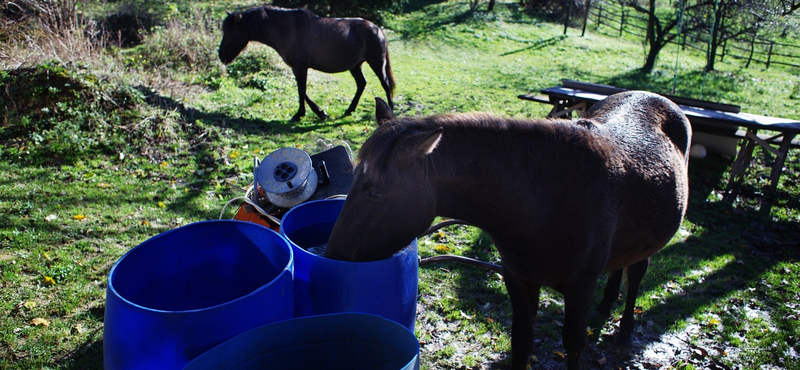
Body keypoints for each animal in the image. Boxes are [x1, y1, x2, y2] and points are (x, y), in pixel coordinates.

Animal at [217, 5, 396, 121]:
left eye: (231, 31)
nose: (221, 55)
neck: (286, 29)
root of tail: (377, 29)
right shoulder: (297, 67)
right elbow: (303, 91)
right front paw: (320, 113)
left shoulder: (300, 67)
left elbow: (301, 90)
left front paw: (300, 114)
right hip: (355, 66)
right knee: (361, 84)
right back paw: (349, 110)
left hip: (376, 62)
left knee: (385, 84)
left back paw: (391, 109)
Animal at [324, 93, 688, 370]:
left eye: (374, 191)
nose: (332, 254)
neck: (545, 200)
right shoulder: (519, 280)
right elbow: (521, 342)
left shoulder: (580, 289)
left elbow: (573, 344)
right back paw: (605, 307)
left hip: (649, 245)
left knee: (636, 274)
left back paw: (625, 331)